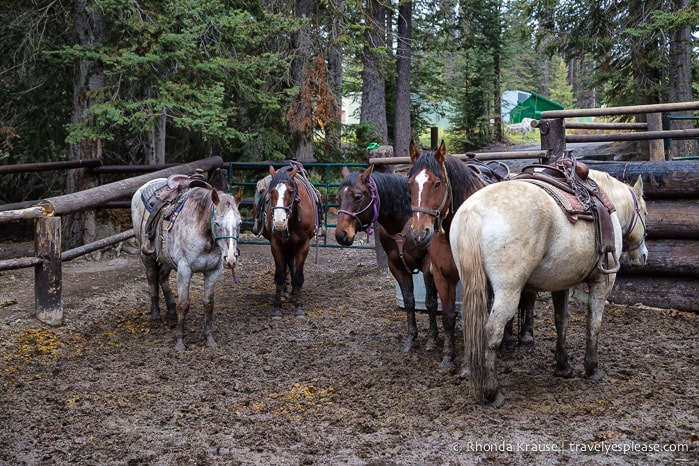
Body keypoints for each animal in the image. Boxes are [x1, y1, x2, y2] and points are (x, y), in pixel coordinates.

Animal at [132, 177, 243, 350]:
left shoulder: (213, 271)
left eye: (239, 223)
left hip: (165, 259)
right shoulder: (185, 269)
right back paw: (156, 315)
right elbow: (183, 305)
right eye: (217, 223)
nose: (230, 259)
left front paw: (209, 339)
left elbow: (208, 304)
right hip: (147, 256)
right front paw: (180, 343)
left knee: (162, 278)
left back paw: (171, 312)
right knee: (151, 279)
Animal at [258, 162, 318, 318]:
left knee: (292, 266)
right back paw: (286, 293)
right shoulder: (276, 245)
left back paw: (292, 293)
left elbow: (299, 276)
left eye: (291, 192)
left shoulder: (303, 245)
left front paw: (299, 308)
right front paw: (277, 308)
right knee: (286, 266)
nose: (279, 222)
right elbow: (279, 275)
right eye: (272, 191)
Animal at [334, 167, 438, 354]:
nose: (341, 235)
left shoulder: (428, 265)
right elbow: (409, 301)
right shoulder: (396, 267)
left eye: (358, 196)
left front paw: (432, 339)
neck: (405, 222)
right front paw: (411, 338)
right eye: (338, 198)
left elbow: (430, 302)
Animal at [404, 142, 536, 372]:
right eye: (410, 183)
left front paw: (467, 364)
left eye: (437, 183)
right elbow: (448, 317)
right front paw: (448, 358)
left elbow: (470, 317)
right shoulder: (441, 275)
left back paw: (519, 336)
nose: (420, 233)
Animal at [452, 169, 648, 406]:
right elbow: (594, 322)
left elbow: (561, 321)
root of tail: (474, 211)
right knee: (491, 332)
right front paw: (592, 368)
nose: (644, 255)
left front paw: (563, 366)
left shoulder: (561, 283)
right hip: (508, 291)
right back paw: (492, 393)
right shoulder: (603, 281)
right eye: (645, 212)